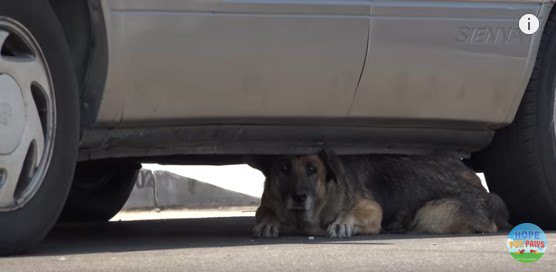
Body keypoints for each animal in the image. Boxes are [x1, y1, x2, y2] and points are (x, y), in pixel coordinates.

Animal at [250, 151, 510, 238]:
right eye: (283, 167)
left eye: (312, 169)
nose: (299, 196)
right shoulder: (266, 205)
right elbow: (266, 213)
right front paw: (269, 223)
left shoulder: (371, 209)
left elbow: (353, 213)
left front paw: (343, 223)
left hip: (429, 213)